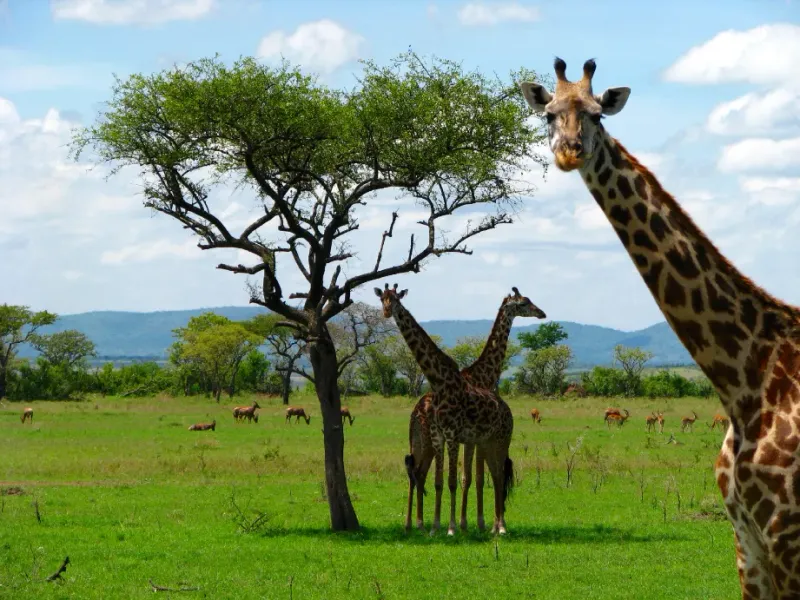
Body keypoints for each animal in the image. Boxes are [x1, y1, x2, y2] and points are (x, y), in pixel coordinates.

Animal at [404, 287, 546, 532]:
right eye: (524, 303)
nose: (541, 313)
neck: (486, 375)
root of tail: (415, 412)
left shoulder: (472, 438)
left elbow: (471, 477)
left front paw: (468, 523)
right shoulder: (475, 438)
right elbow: (474, 478)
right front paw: (474, 522)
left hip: (419, 440)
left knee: (415, 472)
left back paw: (413, 523)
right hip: (428, 439)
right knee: (419, 472)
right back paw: (420, 523)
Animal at [520, 58, 800, 599]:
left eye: (597, 115)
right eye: (548, 114)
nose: (569, 151)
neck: (744, 381)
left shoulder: (787, 536)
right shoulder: (748, 545)